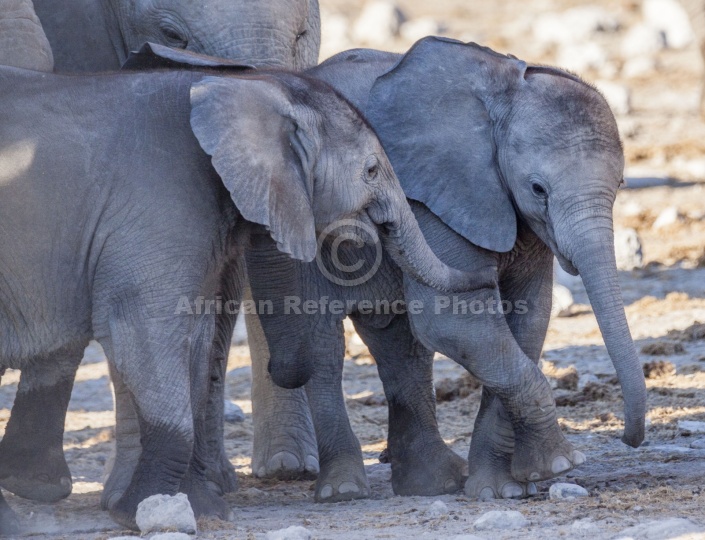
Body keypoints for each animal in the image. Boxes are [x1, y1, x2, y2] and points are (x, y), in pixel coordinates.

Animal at [0, 50, 490, 532]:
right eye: (371, 170)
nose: (488, 271)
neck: (243, 88)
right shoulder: (155, 208)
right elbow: (146, 331)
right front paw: (141, 511)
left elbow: (194, 344)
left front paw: (199, 511)